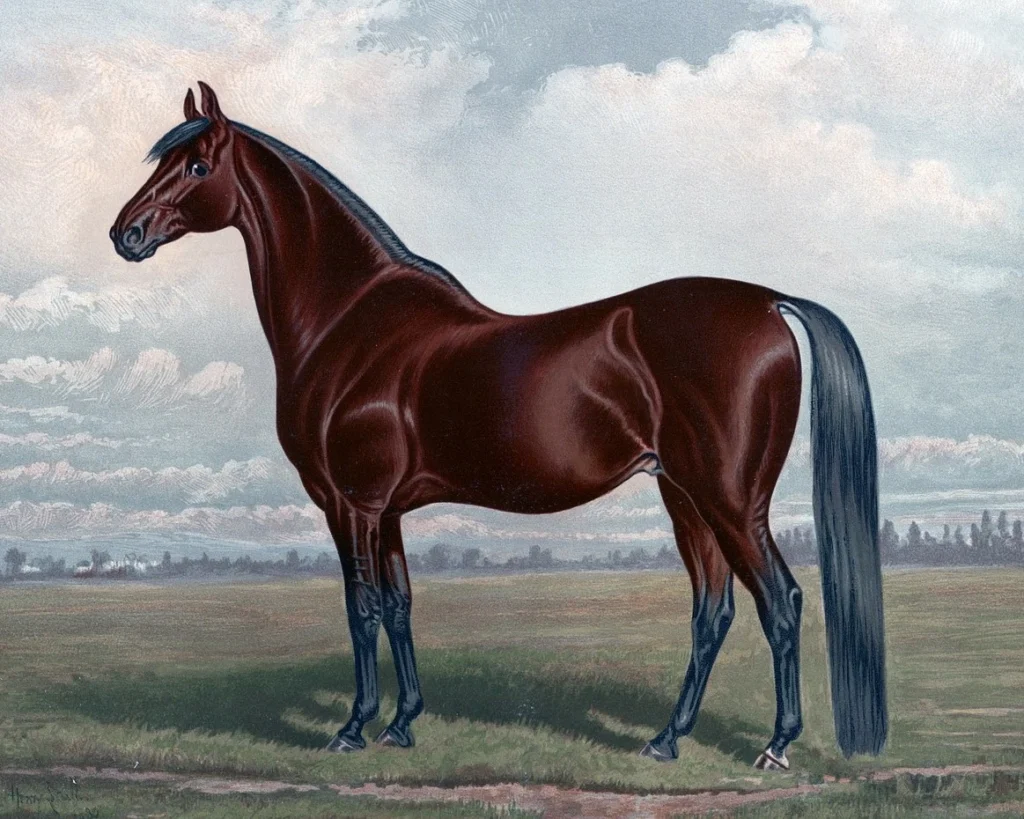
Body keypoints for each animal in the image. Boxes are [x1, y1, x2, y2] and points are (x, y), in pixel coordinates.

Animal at [110, 83, 887, 769]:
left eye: (198, 166)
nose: (126, 234)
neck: (349, 320)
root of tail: (769, 302)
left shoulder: (350, 504)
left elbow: (362, 607)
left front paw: (353, 728)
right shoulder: (388, 510)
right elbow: (400, 604)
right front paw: (402, 723)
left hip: (729, 499)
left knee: (779, 603)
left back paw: (775, 746)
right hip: (685, 496)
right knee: (712, 610)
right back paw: (666, 739)